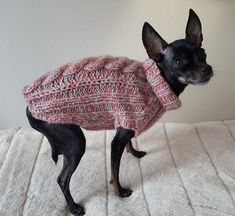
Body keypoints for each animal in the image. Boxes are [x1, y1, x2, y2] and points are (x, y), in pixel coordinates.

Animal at [25, 8, 213, 216]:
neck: (153, 83)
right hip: (75, 142)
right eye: (179, 61)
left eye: (203, 53)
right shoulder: (116, 142)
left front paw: (134, 152)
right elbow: (115, 171)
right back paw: (73, 207)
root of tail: (29, 105)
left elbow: (128, 143)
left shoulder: (126, 123)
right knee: (62, 179)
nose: (207, 69)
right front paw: (120, 192)